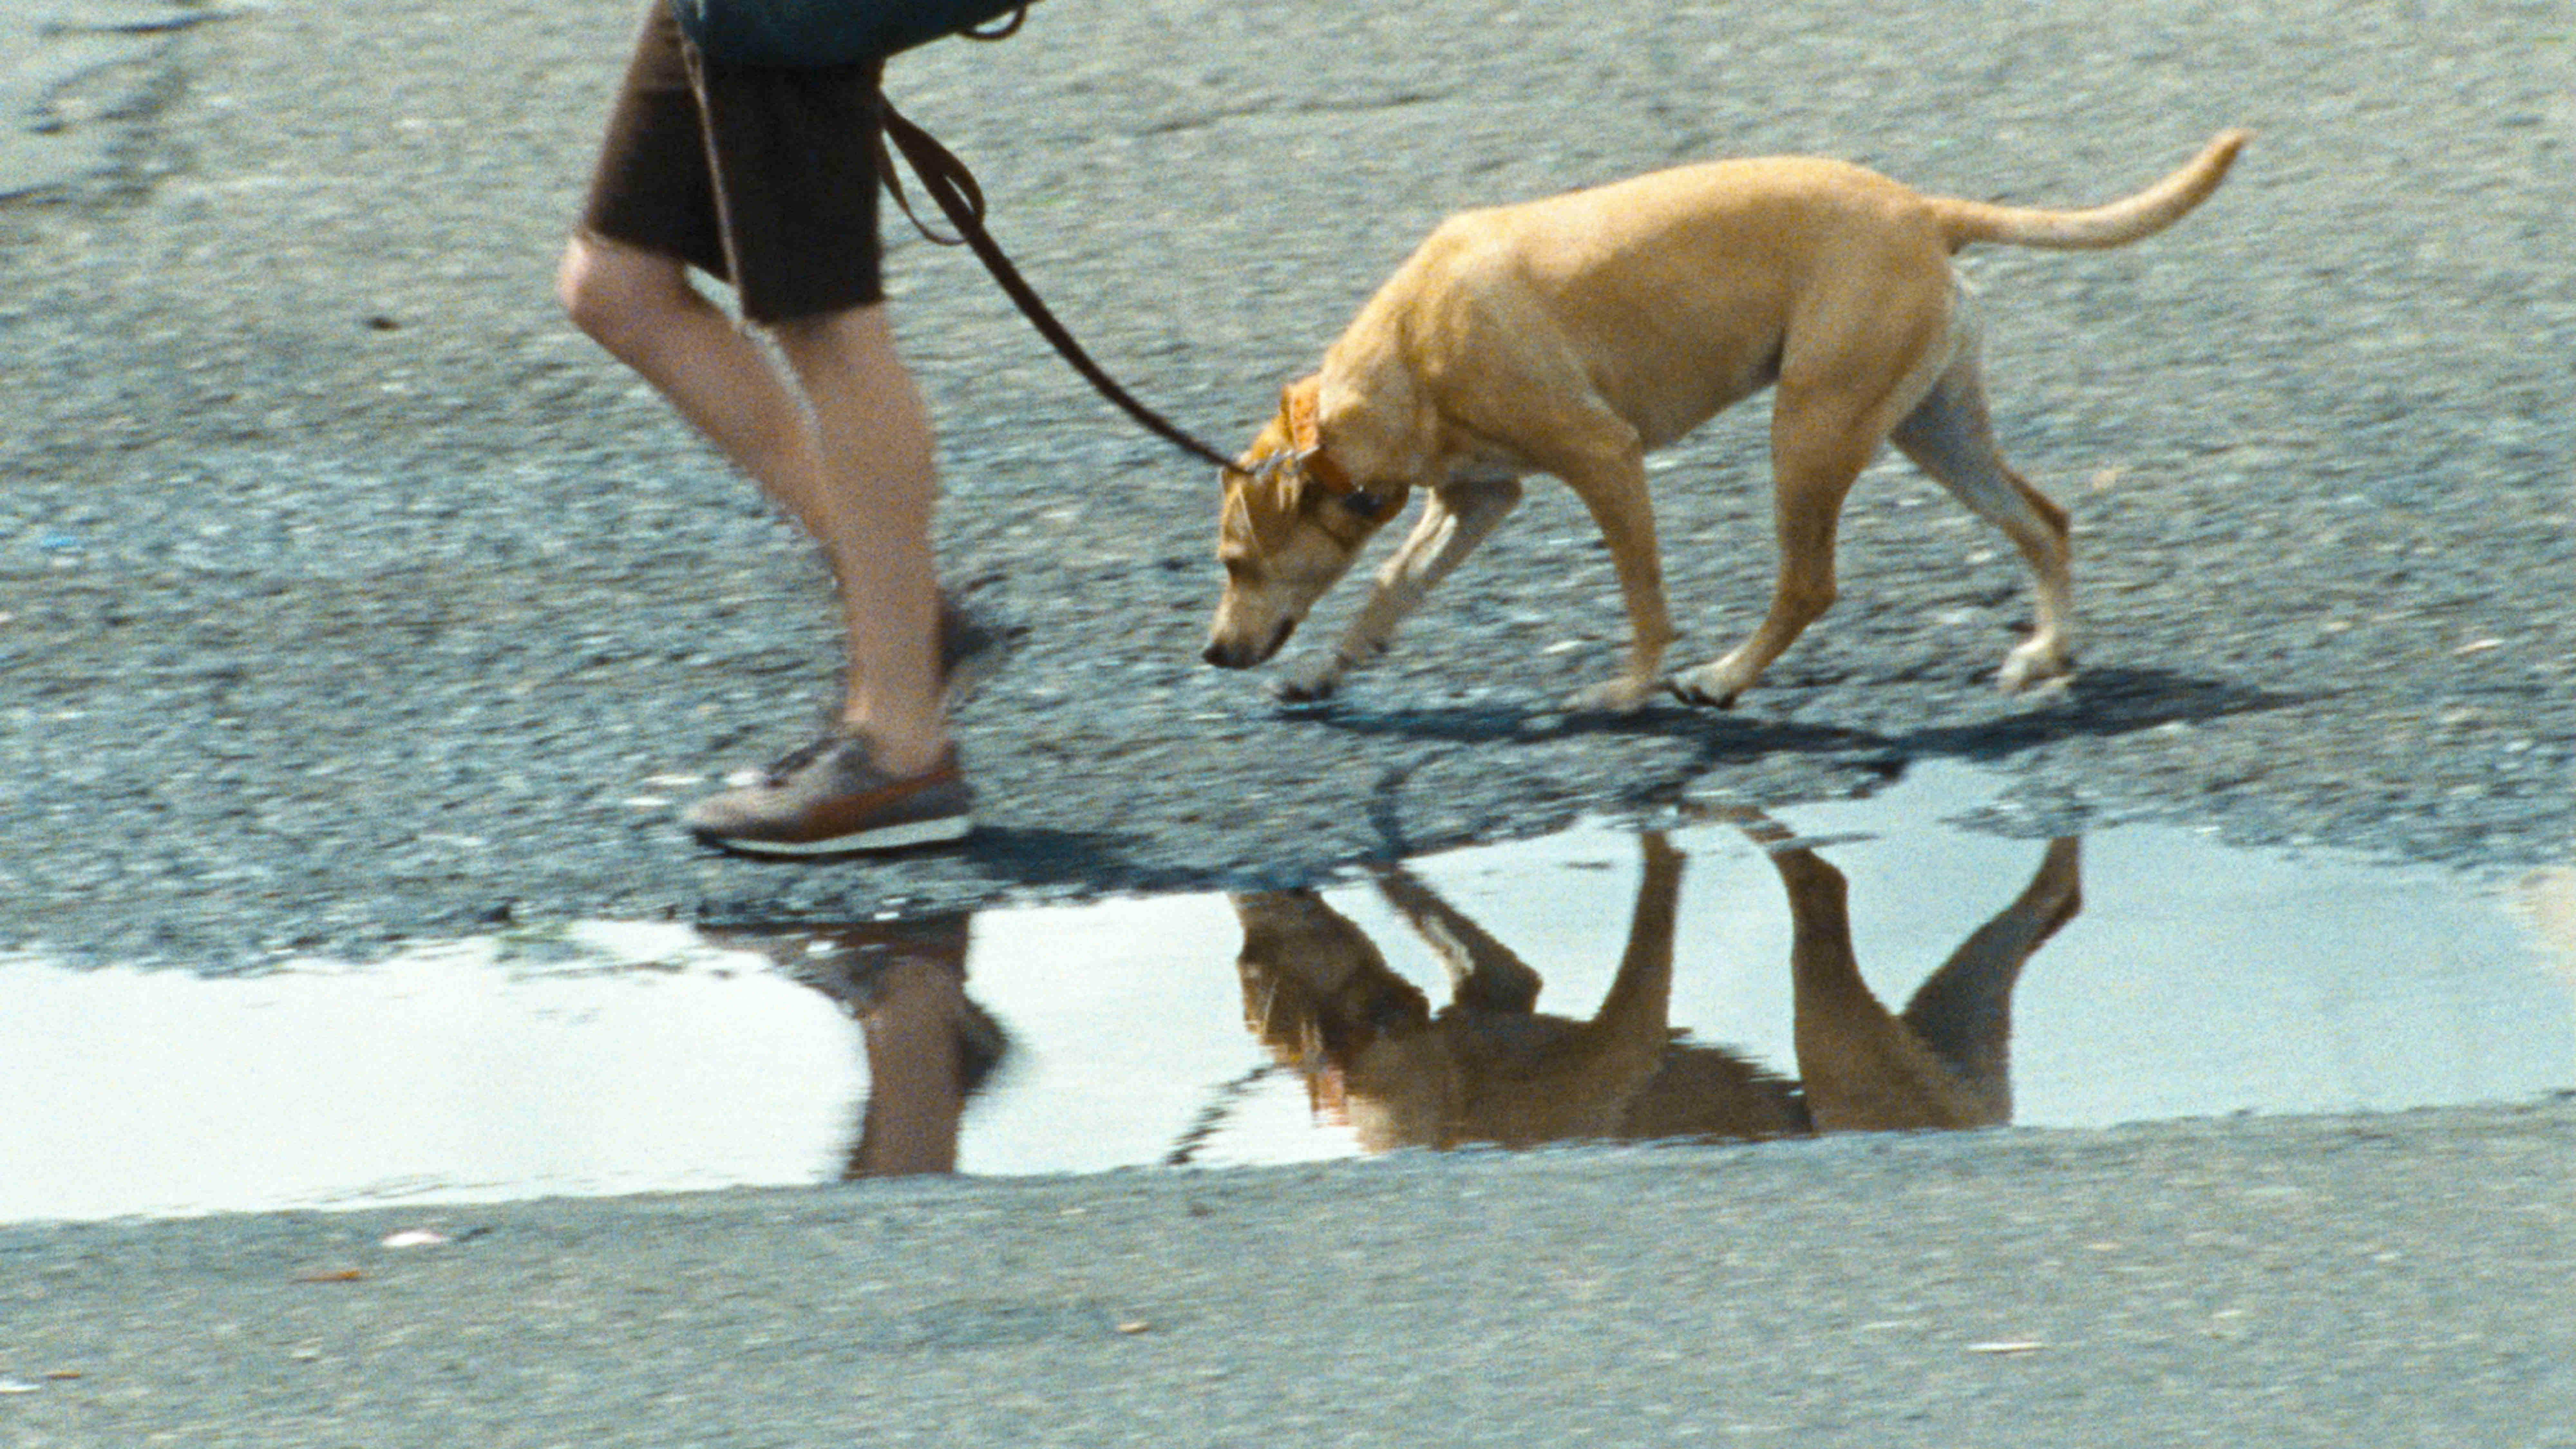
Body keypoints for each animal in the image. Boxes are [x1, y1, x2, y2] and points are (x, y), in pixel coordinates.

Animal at [1195, 133, 2246, 706]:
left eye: (1235, 563)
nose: (1210, 653)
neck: (1405, 352)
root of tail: (1923, 211)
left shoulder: (1604, 460)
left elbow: (1643, 602)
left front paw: (1626, 691)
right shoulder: (1477, 498)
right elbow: (1391, 588)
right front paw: (1328, 670)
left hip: (1809, 429)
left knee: (1809, 584)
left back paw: (1725, 678)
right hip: (1928, 429)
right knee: (2044, 521)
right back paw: (2046, 651)